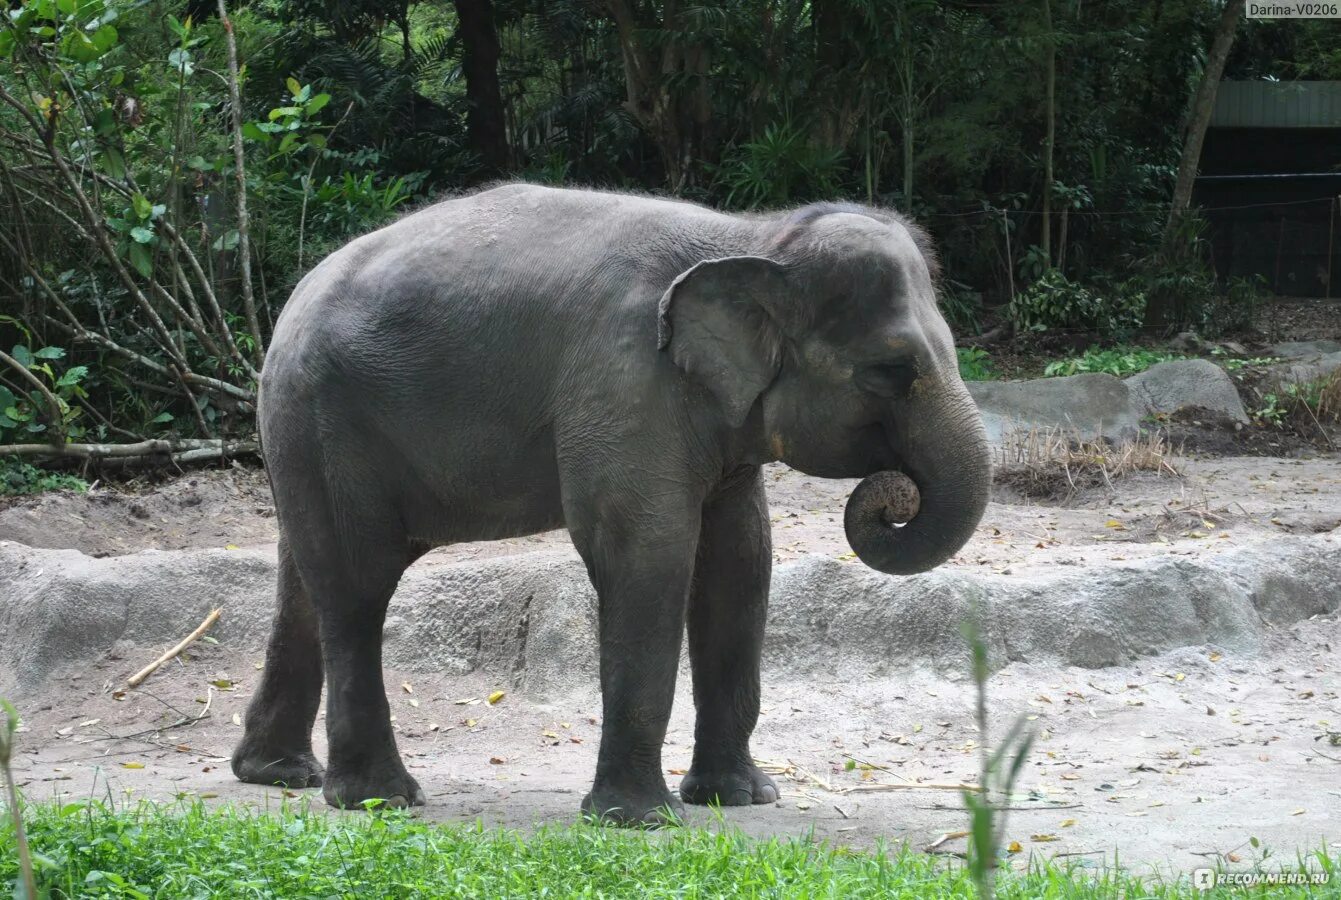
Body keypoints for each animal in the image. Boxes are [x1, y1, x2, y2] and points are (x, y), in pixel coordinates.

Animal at [230, 181, 992, 826]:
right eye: (890, 372)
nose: (891, 496)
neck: (754, 236)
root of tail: (288, 308)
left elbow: (739, 560)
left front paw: (741, 798)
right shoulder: (626, 384)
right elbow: (647, 554)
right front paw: (638, 820)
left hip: (304, 436)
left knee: (305, 583)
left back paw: (278, 774)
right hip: (326, 420)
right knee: (356, 588)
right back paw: (379, 799)